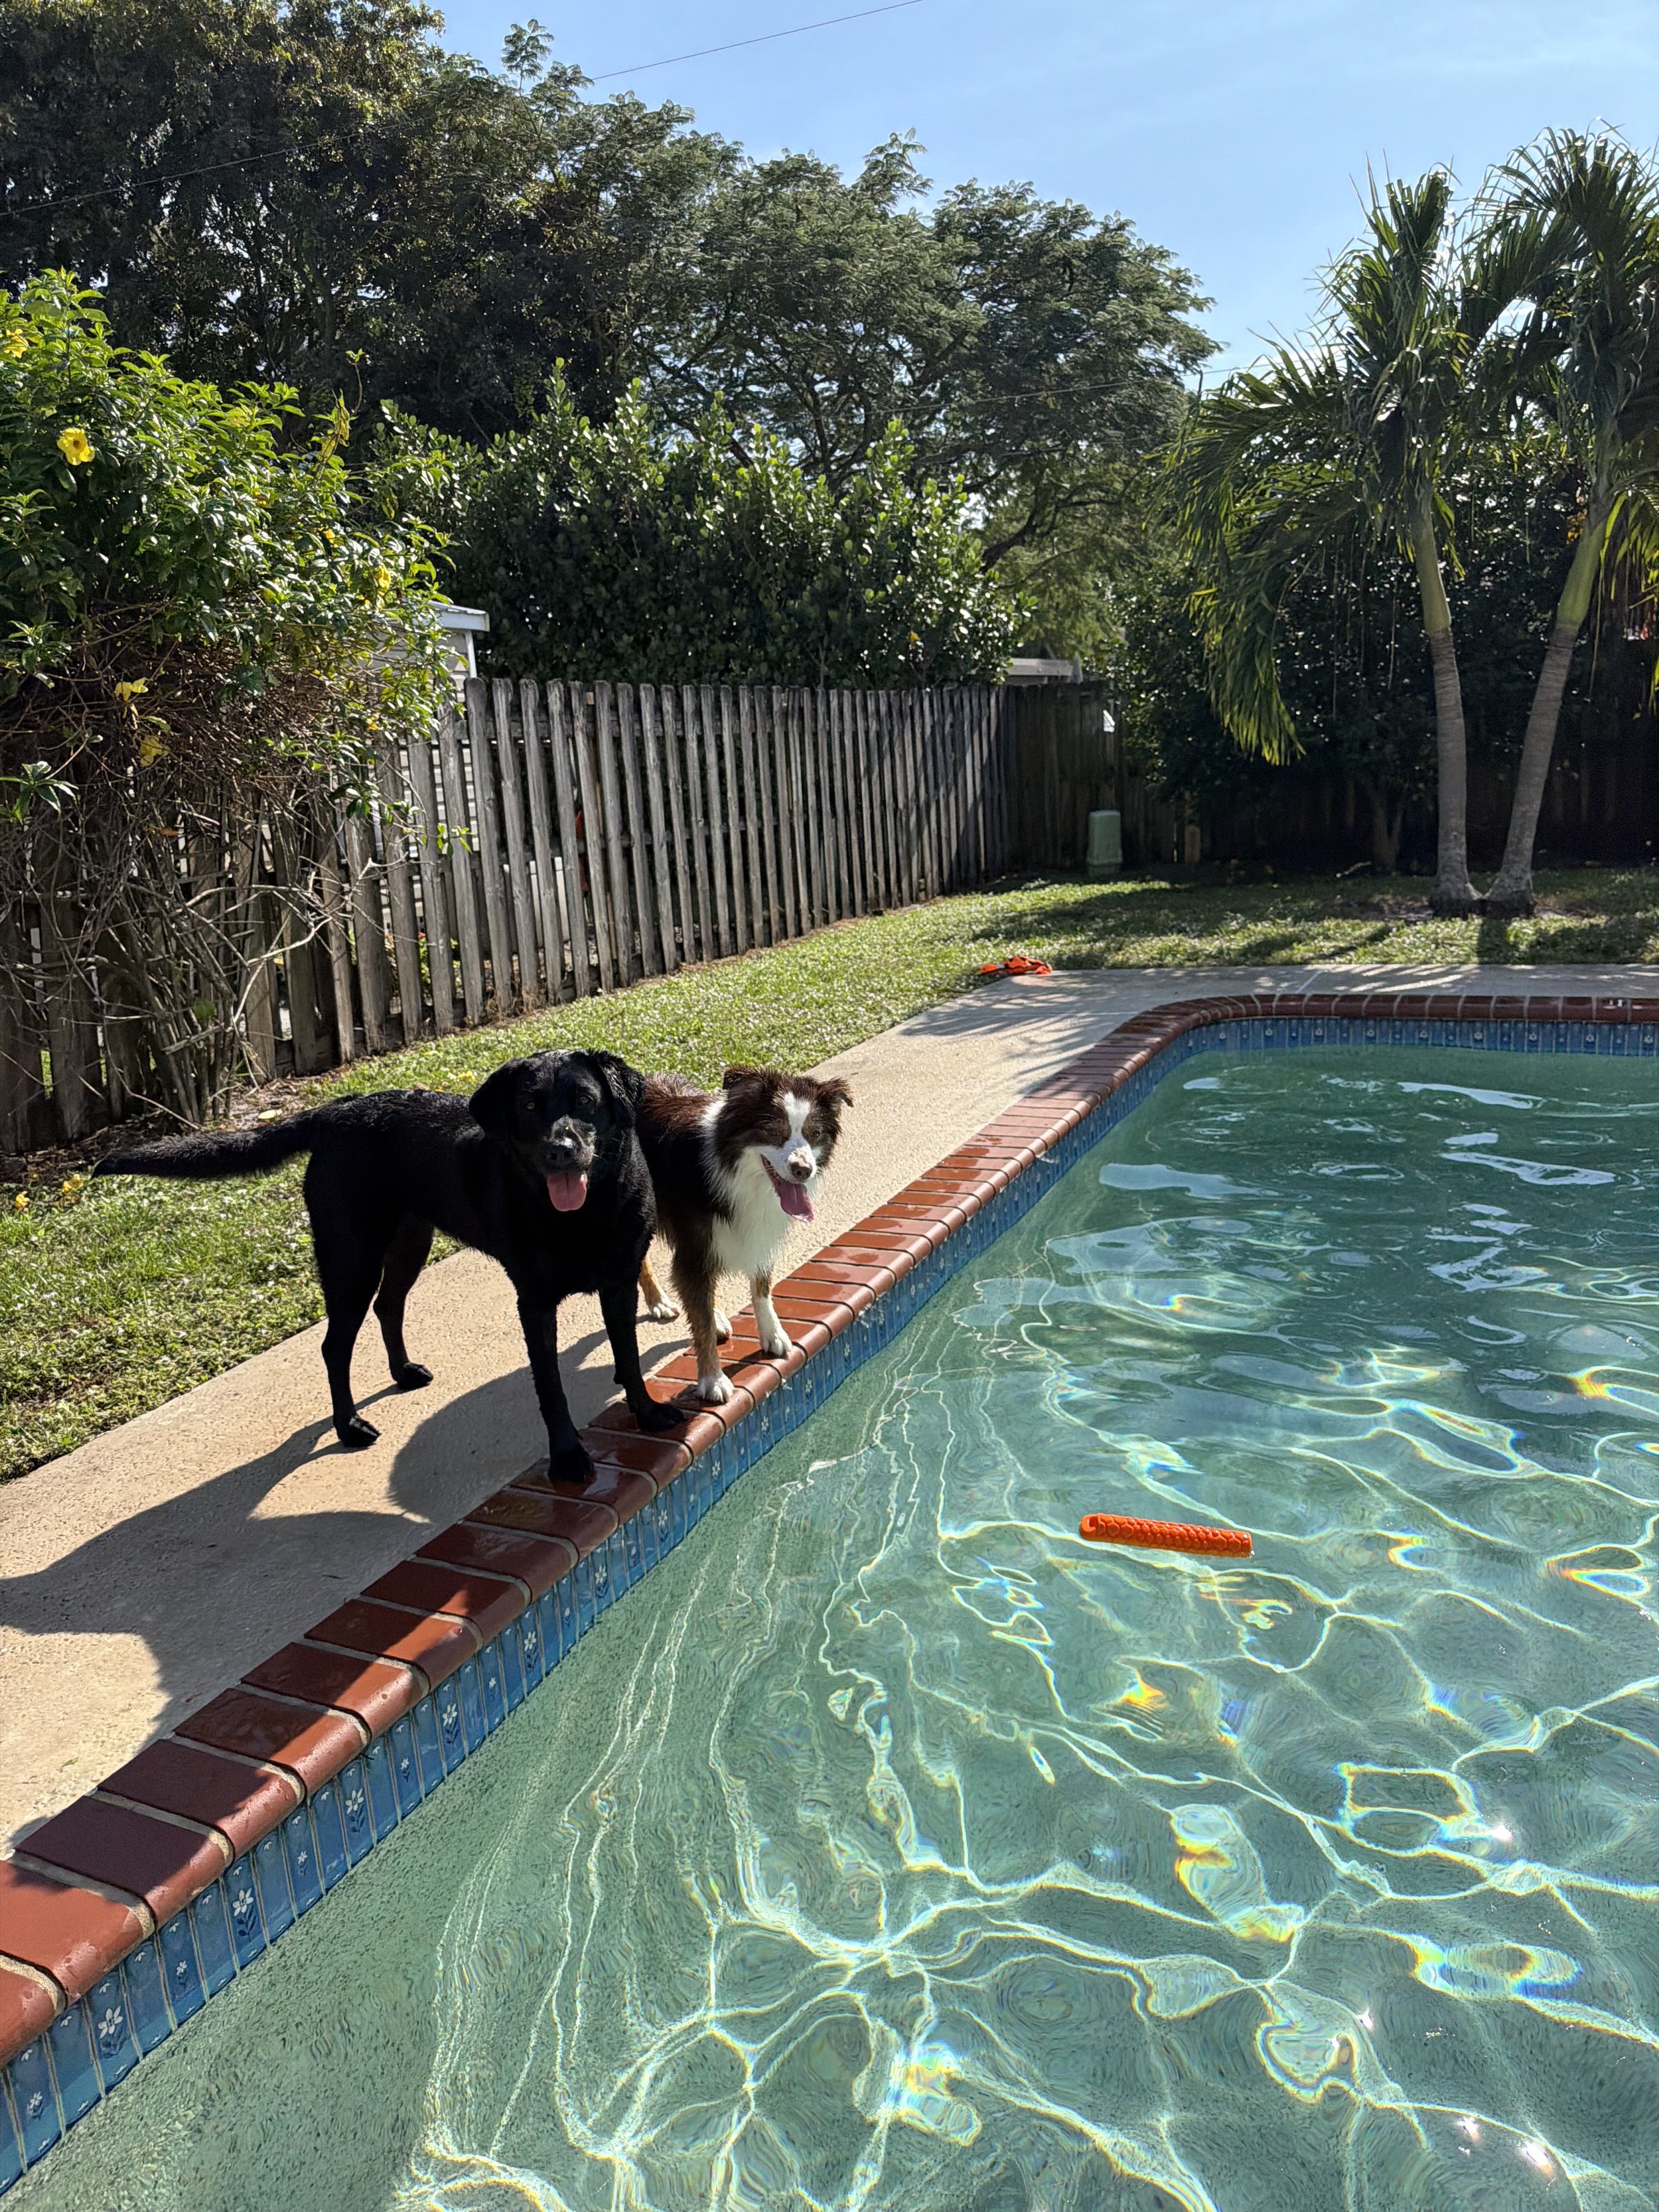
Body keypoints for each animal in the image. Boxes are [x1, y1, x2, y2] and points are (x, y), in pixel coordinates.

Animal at [93, 1050, 682, 1481]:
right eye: (531, 1106)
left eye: (585, 1100)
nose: (562, 1149)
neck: (583, 1213)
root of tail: (335, 1111)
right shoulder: (534, 1303)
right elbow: (551, 1387)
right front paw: (567, 1456)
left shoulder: (620, 1280)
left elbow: (629, 1355)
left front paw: (648, 1412)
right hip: (349, 1257)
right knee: (336, 1344)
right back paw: (349, 1425)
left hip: (408, 1242)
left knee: (389, 1305)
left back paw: (402, 1372)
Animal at [635, 1065, 852, 1403]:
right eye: (773, 1131)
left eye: (814, 1134)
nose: (804, 1170)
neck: (739, 1173)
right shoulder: (695, 1247)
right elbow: (700, 1322)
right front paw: (712, 1379)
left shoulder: (758, 1235)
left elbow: (761, 1288)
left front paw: (773, 1334)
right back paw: (659, 1301)